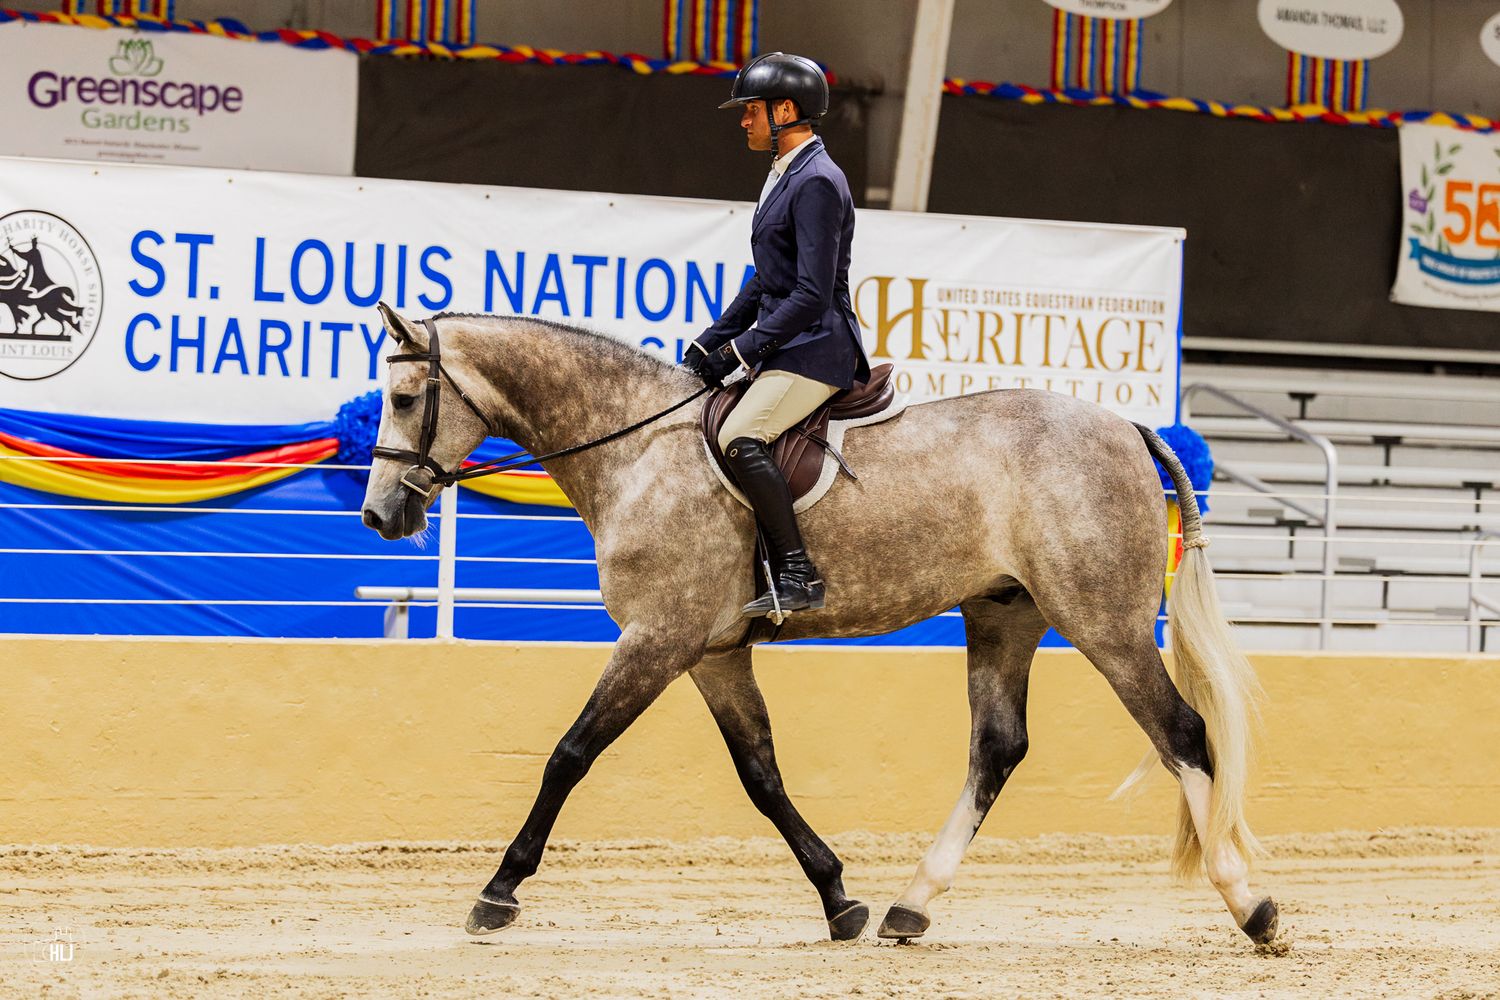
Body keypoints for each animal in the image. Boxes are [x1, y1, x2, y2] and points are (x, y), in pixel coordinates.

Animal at [359, 304, 1279, 947]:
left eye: (403, 398)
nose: (379, 515)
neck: (638, 450)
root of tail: (1126, 425)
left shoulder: (657, 639)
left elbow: (569, 756)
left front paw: (496, 893)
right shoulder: (713, 654)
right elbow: (761, 776)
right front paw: (840, 899)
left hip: (1101, 618)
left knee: (1180, 731)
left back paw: (1253, 904)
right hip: (1003, 613)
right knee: (998, 748)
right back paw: (910, 906)